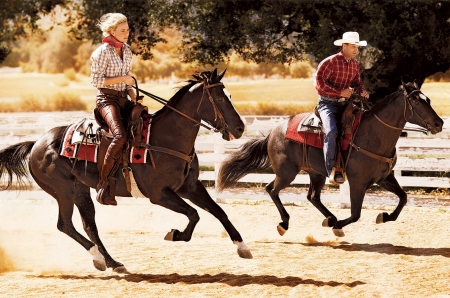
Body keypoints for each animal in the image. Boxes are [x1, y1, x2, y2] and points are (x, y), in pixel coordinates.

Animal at [0, 68, 253, 274]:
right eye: (219, 98)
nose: (240, 128)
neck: (166, 137)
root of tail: (36, 143)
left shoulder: (190, 187)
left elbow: (218, 211)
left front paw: (242, 246)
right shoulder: (159, 194)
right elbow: (194, 215)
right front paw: (175, 234)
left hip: (79, 189)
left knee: (89, 226)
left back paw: (112, 262)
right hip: (62, 191)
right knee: (65, 225)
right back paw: (98, 258)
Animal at [218, 81, 442, 237]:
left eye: (428, 99)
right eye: (416, 101)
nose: (439, 123)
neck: (373, 134)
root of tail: (273, 132)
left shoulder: (384, 177)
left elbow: (403, 198)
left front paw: (384, 216)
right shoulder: (358, 182)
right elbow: (355, 214)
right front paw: (338, 226)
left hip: (315, 173)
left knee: (311, 196)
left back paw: (329, 218)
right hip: (287, 172)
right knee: (272, 190)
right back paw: (286, 223)